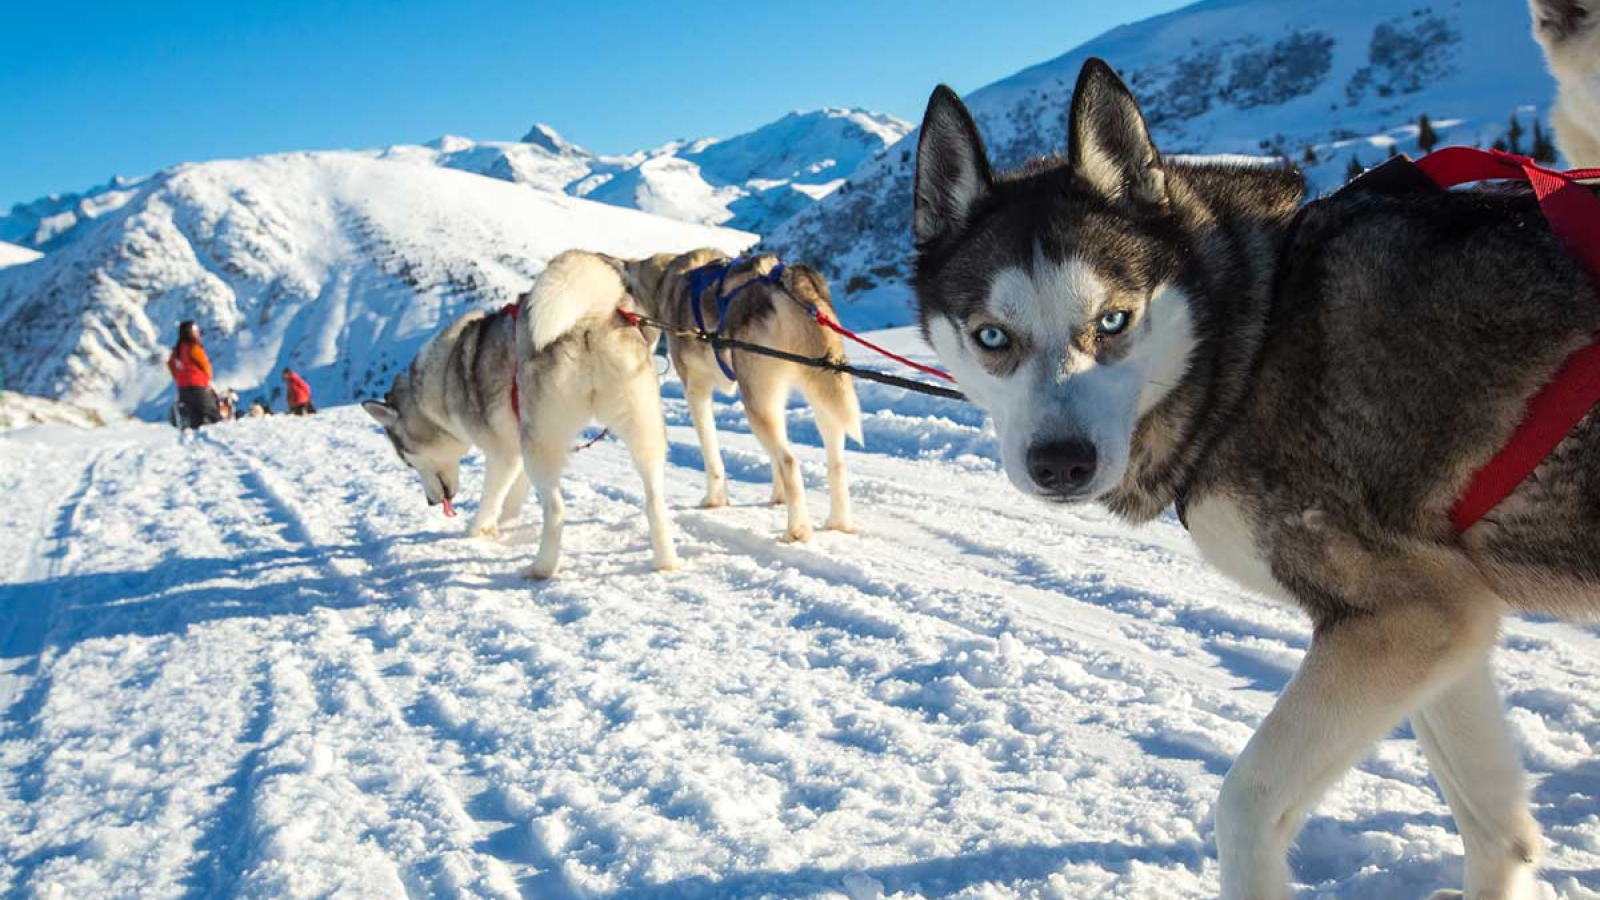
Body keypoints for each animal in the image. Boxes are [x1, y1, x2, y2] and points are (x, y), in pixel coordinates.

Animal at [366, 248, 678, 576]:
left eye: (408, 460)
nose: (429, 502)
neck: (444, 377)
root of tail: (590, 318)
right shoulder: (517, 450)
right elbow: (513, 496)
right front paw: (503, 523)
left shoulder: (504, 454)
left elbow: (491, 496)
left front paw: (476, 529)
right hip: (640, 430)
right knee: (654, 500)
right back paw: (666, 561)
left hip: (540, 444)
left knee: (555, 509)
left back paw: (541, 568)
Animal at [620, 246, 864, 538]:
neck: (672, 280)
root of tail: (783, 280)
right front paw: (778, 497)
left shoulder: (697, 391)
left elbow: (712, 455)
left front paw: (714, 500)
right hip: (816, 394)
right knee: (835, 463)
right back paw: (838, 523)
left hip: (757, 403)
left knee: (789, 461)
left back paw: (796, 531)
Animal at [915, 56, 1600, 896]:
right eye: (991, 337)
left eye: (1113, 320)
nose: (1061, 462)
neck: (1252, 333)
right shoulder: (1450, 613)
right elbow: (1497, 829)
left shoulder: (1403, 616)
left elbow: (1243, 808)